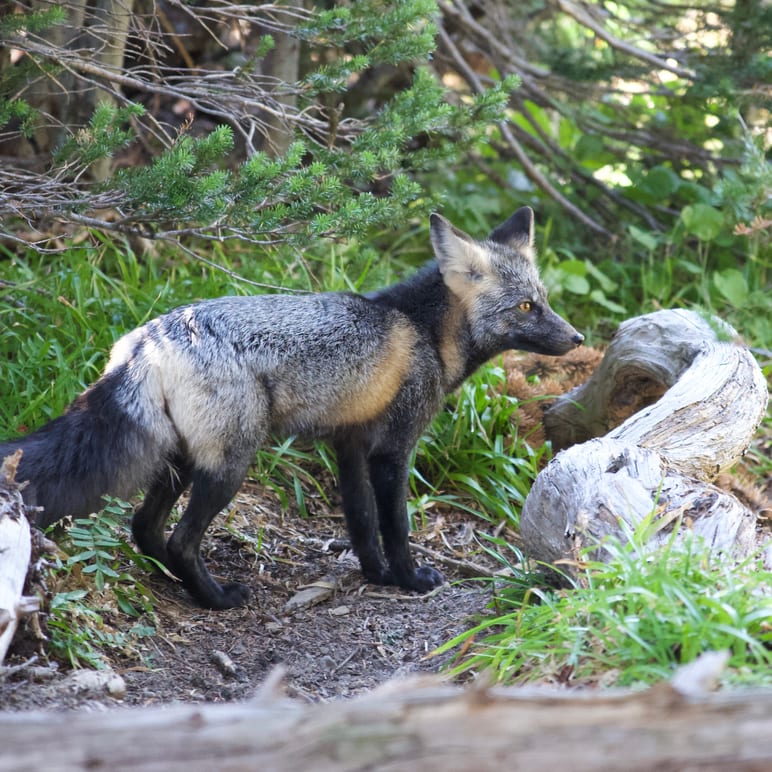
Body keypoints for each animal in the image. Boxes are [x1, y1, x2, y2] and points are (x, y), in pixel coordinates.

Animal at [0, 207, 583, 610]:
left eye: (544, 300)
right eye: (527, 307)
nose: (577, 337)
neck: (421, 331)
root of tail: (148, 341)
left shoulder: (349, 444)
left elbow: (361, 521)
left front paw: (376, 575)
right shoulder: (393, 449)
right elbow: (395, 524)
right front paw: (409, 578)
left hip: (184, 458)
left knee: (146, 529)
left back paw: (173, 583)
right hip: (229, 466)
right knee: (182, 540)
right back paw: (217, 598)